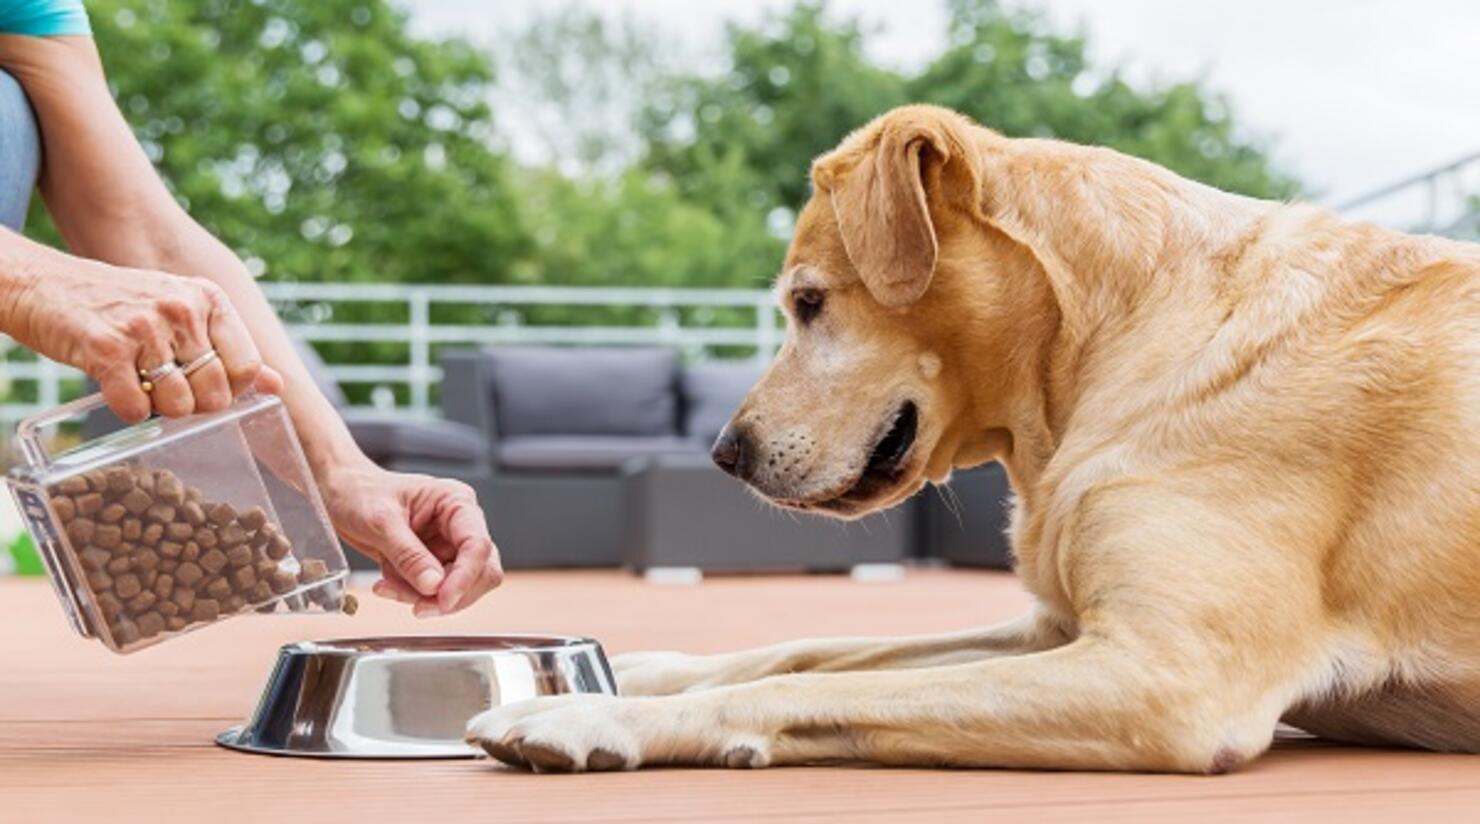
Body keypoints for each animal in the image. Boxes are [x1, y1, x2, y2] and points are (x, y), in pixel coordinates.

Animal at [470, 102, 1480, 769]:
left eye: (808, 302)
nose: (725, 453)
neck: (1112, 342)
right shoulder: (1056, 629)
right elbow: (813, 649)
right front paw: (633, 673)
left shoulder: (1169, 675)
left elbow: (818, 686)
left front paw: (588, 721)